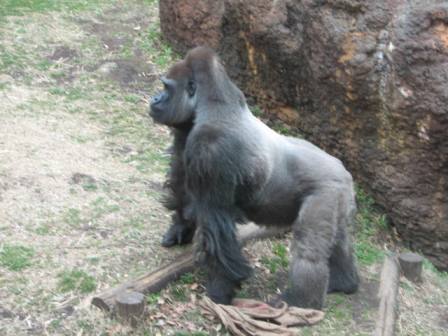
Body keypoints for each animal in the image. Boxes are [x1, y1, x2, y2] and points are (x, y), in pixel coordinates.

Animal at [149, 46, 358, 308]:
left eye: (167, 88)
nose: (154, 99)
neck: (210, 102)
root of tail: (345, 172)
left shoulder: (212, 148)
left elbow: (216, 223)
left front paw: (220, 290)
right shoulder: (186, 131)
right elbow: (181, 184)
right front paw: (179, 227)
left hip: (326, 191)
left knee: (309, 247)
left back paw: (301, 301)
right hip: (340, 196)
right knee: (338, 239)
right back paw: (343, 282)